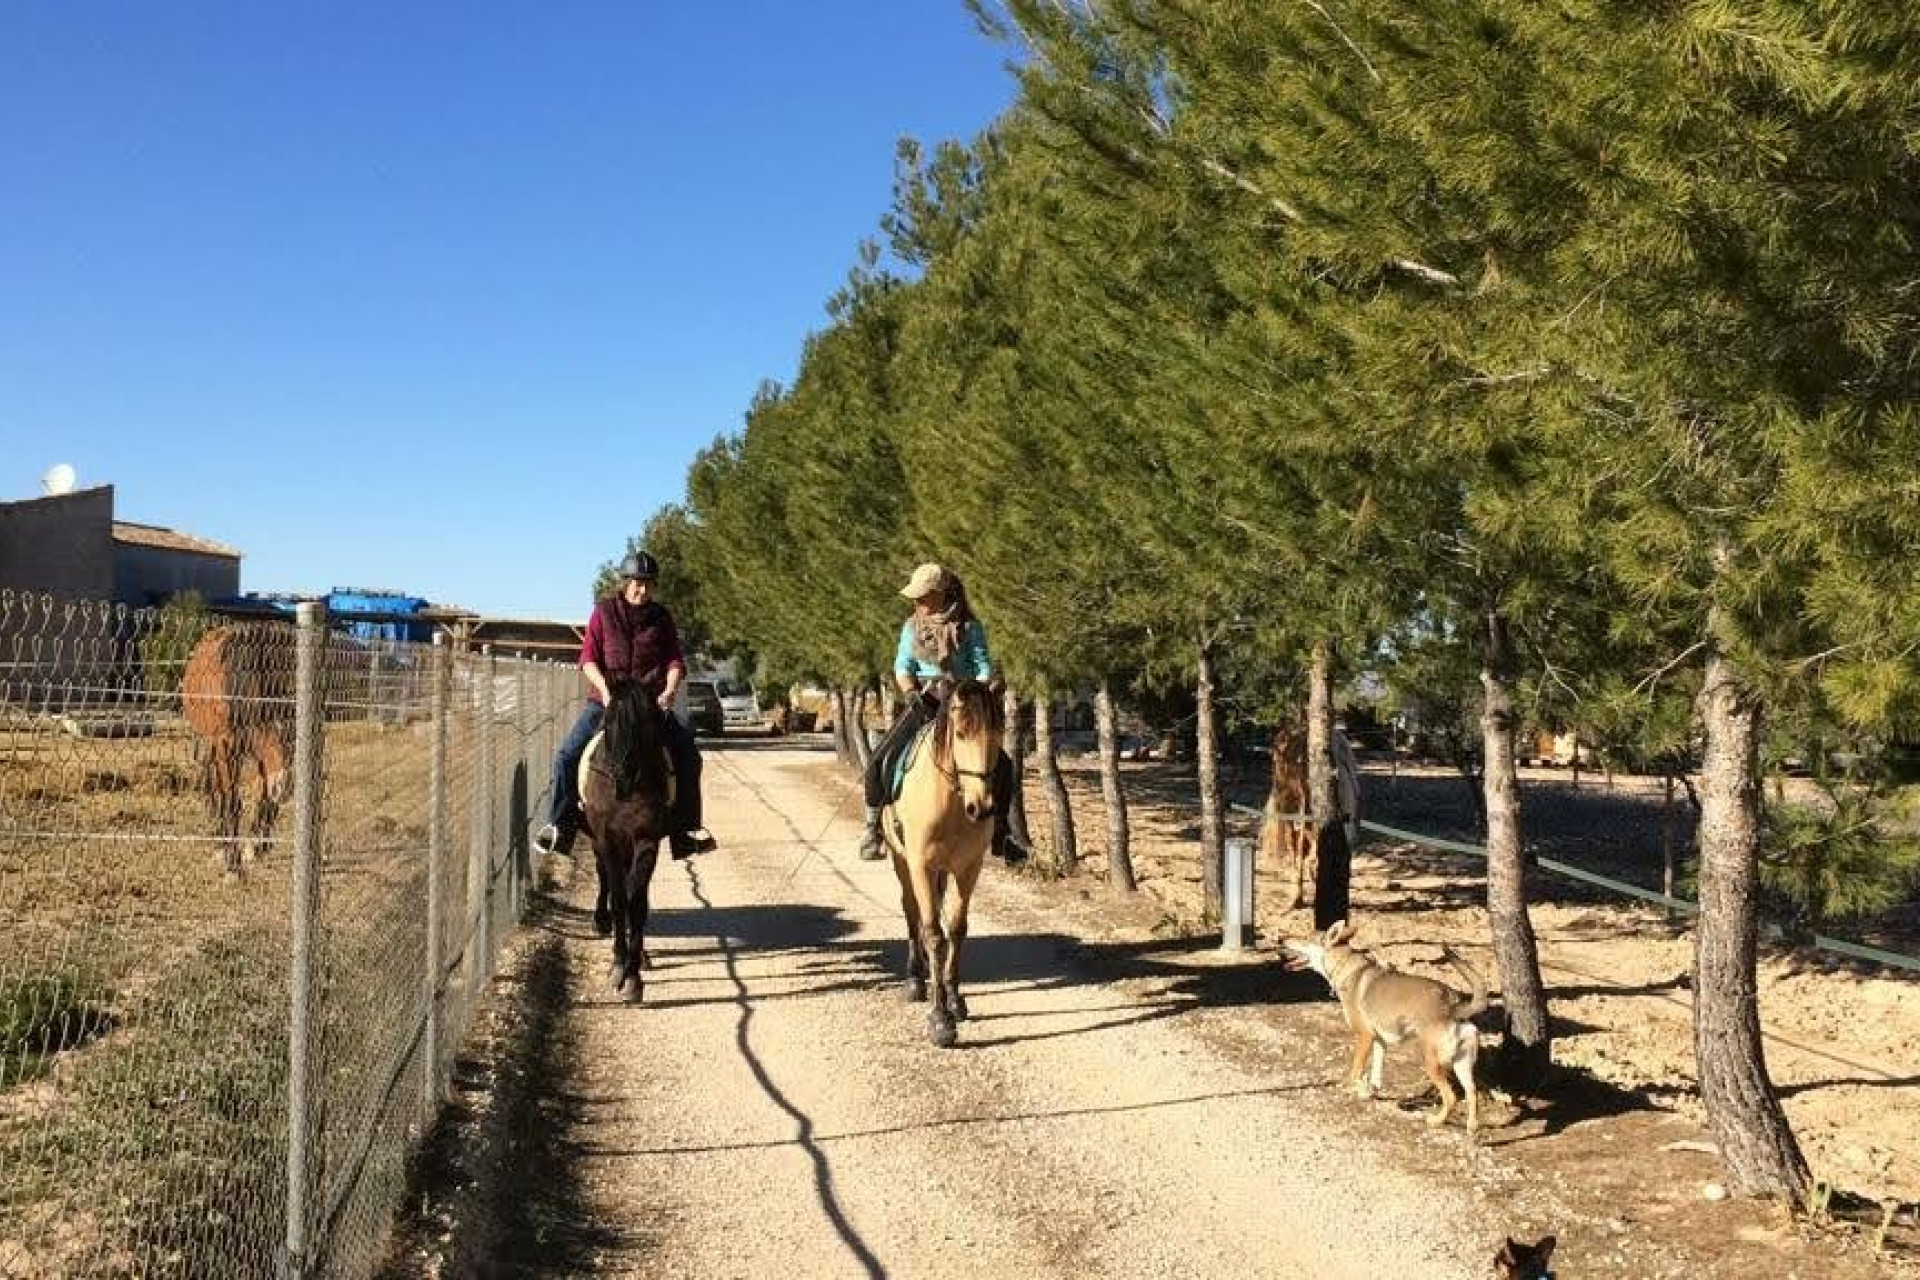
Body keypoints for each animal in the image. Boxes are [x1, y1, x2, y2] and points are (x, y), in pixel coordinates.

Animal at [180, 621, 295, 882]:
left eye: (294, 732)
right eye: (266, 727)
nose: (285, 787)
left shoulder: (256, 754)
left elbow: (262, 795)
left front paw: (256, 847)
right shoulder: (227, 745)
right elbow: (233, 802)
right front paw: (234, 865)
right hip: (208, 743)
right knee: (214, 790)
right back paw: (219, 844)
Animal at [576, 679, 675, 997]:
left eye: (644, 722)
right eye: (607, 722)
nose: (622, 778)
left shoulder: (647, 842)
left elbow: (637, 902)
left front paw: (633, 974)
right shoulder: (607, 841)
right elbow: (619, 899)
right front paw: (618, 966)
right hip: (599, 842)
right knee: (603, 876)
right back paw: (600, 920)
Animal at [883, 679, 1006, 1051]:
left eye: (999, 733)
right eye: (961, 734)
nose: (982, 807)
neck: (951, 800)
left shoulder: (968, 868)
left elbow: (957, 929)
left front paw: (954, 998)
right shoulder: (921, 867)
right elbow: (935, 935)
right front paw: (940, 1019)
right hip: (902, 863)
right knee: (912, 913)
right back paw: (915, 978)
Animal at [1282, 917, 1489, 1136]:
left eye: (1305, 938)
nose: (1281, 939)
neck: (1347, 968)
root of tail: (1454, 1005)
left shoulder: (1364, 1036)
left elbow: (1355, 1073)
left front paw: (1360, 1090)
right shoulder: (1379, 1040)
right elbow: (1375, 1075)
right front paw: (1368, 1092)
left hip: (1431, 1062)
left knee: (1451, 1097)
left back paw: (1436, 1121)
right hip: (1462, 1063)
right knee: (1471, 1092)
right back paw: (1472, 1128)